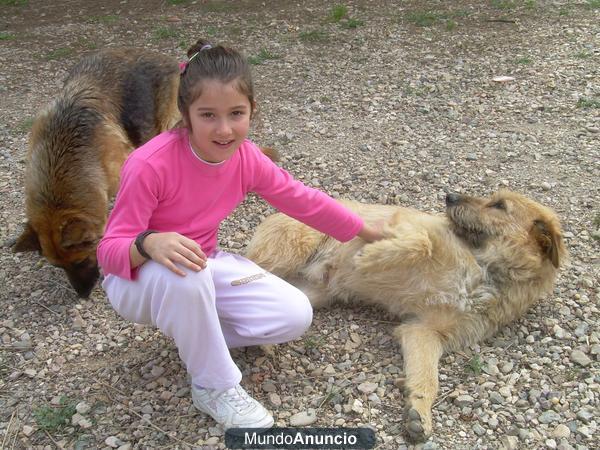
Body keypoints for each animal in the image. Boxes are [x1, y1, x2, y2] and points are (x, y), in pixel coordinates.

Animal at [246, 189, 564, 440]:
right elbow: (419, 242)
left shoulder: (424, 331)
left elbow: (428, 378)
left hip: (309, 295)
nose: (449, 196)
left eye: (499, 205)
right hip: (292, 247)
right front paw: (369, 257)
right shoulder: (405, 224)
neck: (485, 270)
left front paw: (419, 411)